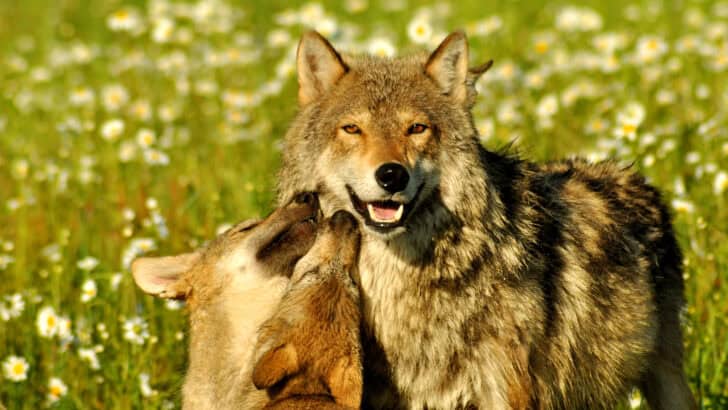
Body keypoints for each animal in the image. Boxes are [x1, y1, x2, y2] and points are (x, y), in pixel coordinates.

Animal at [277, 31, 696, 409]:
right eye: (352, 129)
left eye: (416, 128)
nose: (392, 175)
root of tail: (637, 179)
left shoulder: (505, 389)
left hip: (667, 382)